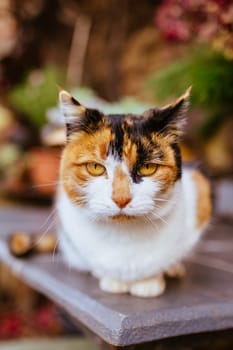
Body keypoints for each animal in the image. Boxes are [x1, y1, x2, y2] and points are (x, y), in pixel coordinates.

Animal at [56, 89, 211, 296]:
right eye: (95, 167)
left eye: (148, 168)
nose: (121, 198)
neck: (124, 237)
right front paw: (112, 281)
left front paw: (149, 283)